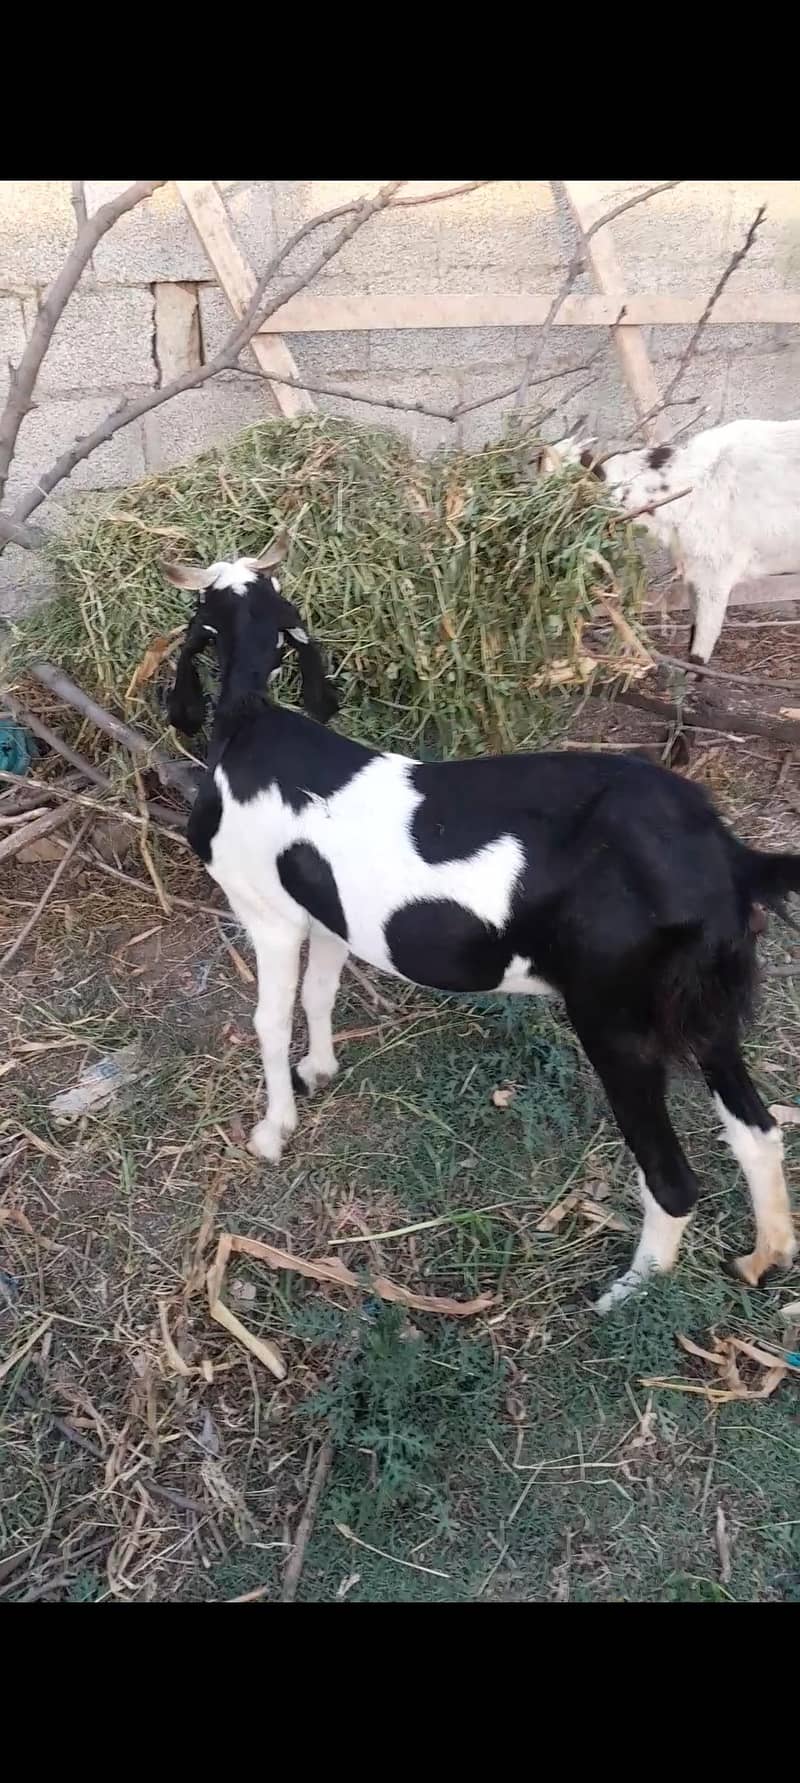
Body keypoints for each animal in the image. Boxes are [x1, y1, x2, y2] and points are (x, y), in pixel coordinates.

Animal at [163, 535, 798, 1312]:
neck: (252, 723)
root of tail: (725, 855)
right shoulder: (331, 916)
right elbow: (320, 993)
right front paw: (319, 1070)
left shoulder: (269, 912)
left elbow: (270, 1019)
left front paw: (272, 1130)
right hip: (705, 1009)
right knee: (759, 1130)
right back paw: (765, 1256)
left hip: (619, 1023)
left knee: (674, 1179)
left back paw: (624, 1294)